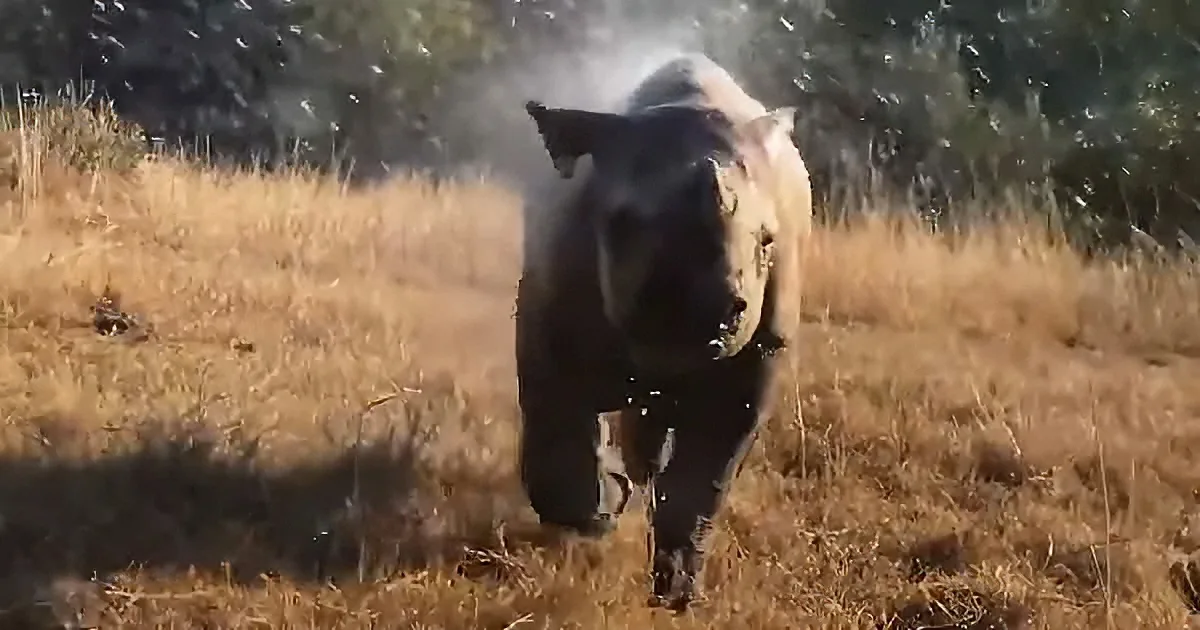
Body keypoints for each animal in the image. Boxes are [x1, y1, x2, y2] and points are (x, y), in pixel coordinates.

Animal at [515, 53, 813, 610]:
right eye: (619, 224)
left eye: (767, 242)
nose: (709, 310)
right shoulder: (548, 310)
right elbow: (554, 436)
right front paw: (603, 510)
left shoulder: (758, 353)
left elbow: (704, 477)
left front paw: (676, 594)